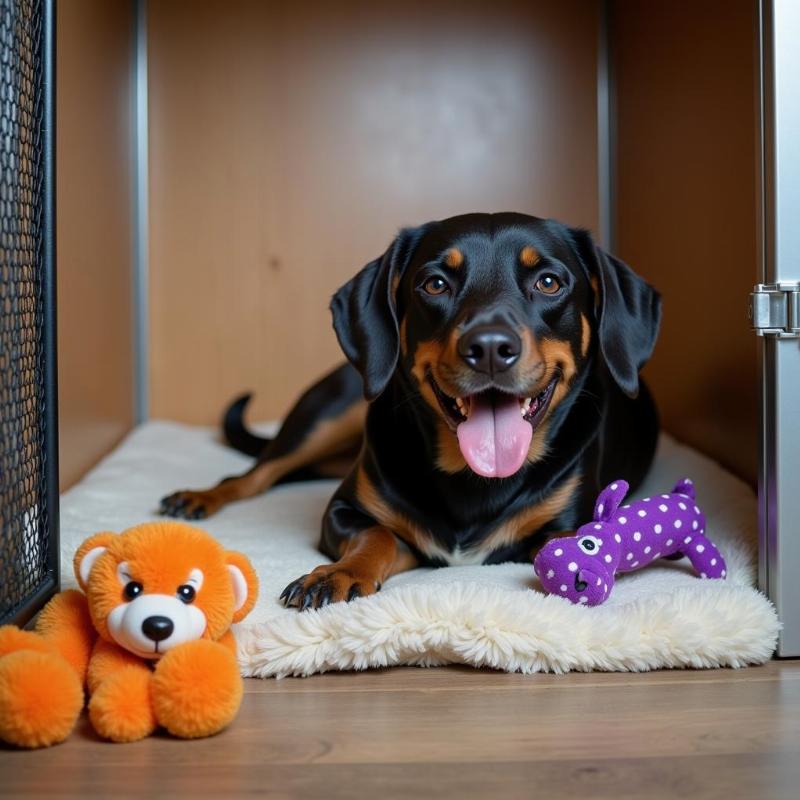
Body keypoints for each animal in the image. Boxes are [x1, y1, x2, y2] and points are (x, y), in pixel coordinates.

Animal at [159, 212, 660, 612]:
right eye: (435, 283)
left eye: (549, 282)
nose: (490, 348)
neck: (473, 478)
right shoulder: (343, 510)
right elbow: (378, 535)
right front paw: (339, 574)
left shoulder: (566, 520)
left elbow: (562, 545)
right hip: (328, 413)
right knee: (255, 475)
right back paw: (198, 498)